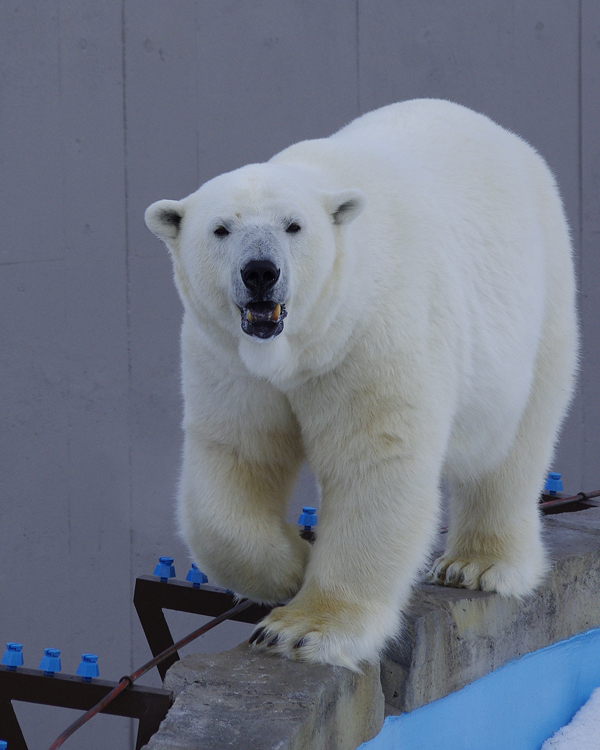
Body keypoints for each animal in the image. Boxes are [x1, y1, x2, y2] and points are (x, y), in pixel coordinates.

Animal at [144, 98, 576, 668]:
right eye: (220, 229)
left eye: (294, 226)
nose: (260, 272)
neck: (302, 347)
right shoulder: (228, 361)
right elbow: (237, 455)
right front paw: (291, 566)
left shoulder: (370, 335)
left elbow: (374, 460)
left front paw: (301, 629)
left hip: (536, 302)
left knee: (513, 442)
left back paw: (477, 564)